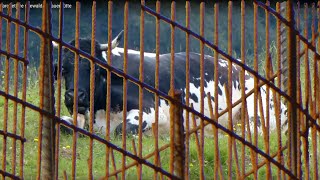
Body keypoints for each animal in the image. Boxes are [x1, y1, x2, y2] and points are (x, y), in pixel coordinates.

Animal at [54, 31, 288, 137]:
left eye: (94, 69)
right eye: (64, 69)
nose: (75, 96)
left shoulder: (151, 109)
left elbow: (121, 130)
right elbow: (63, 124)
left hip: (256, 115)